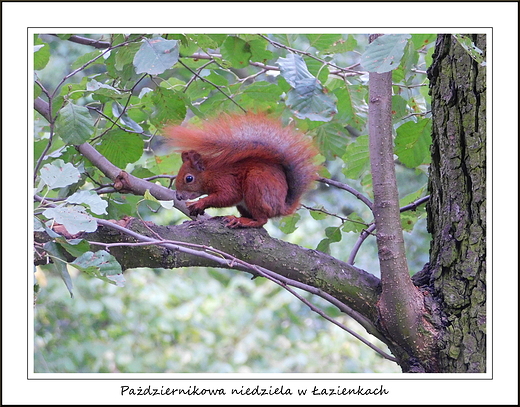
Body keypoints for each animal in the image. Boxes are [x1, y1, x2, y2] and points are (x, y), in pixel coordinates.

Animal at [165, 113, 318, 228]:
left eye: (189, 178)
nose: (178, 196)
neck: (211, 172)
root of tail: (281, 207)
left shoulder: (226, 180)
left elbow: (229, 195)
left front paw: (199, 203)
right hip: (245, 203)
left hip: (256, 185)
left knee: (262, 220)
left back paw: (242, 221)